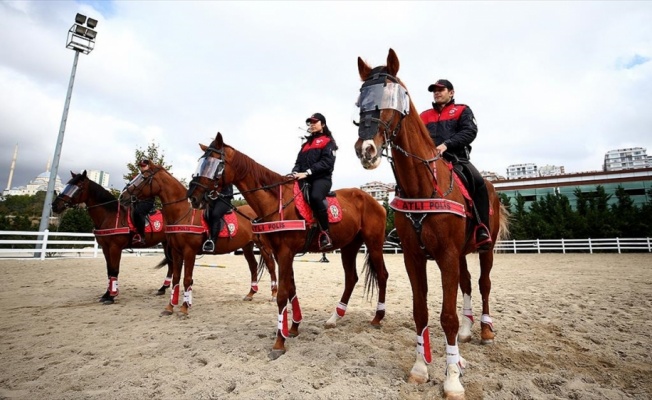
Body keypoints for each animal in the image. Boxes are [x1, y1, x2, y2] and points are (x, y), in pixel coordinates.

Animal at [51, 170, 173, 304]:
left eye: (77, 187)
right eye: (67, 185)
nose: (54, 205)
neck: (109, 215)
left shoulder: (115, 248)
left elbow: (114, 270)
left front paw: (112, 296)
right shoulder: (105, 248)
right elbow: (109, 271)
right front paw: (106, 294)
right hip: (166, 244)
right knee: (171, 264)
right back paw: (163, 288)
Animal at [119, 162, 278, 316]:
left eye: (144, 177)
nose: (122, 196)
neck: (183, 212)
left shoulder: (189, 252)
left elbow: (187, 279)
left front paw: (184, 308)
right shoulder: (176, 251)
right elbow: (176, 278)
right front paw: (170, 307)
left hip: (263, 245)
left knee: (271, 266)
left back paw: (274, 294)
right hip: (247, 246)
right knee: (253, 266)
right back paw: (250, 293)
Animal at [186, 132, 390, 360]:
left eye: (216, 164)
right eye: (201, 162)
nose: (193, 197)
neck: (276, 202)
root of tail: (373, 200)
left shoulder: (285, 253)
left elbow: (283, 294)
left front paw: (279, 342)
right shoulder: (281, 254)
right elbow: (291, 288)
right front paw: (293, 327)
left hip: (374, 244)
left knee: (382, 275)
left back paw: (377, 317)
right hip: (349, 246)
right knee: (351, 278)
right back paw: (335, 317)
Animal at [356, 48, 510, 398]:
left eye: (393, 96)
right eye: (360, 98)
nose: (366, 149)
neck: (423, 184)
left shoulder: (447, 256)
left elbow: (447, 316)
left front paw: (452, 378)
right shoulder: (415, 257)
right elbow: (421, 311)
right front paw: (420, 368)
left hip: (484, 249)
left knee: (483, 284)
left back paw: (484, 330)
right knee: (467, 283)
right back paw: (468, 330)